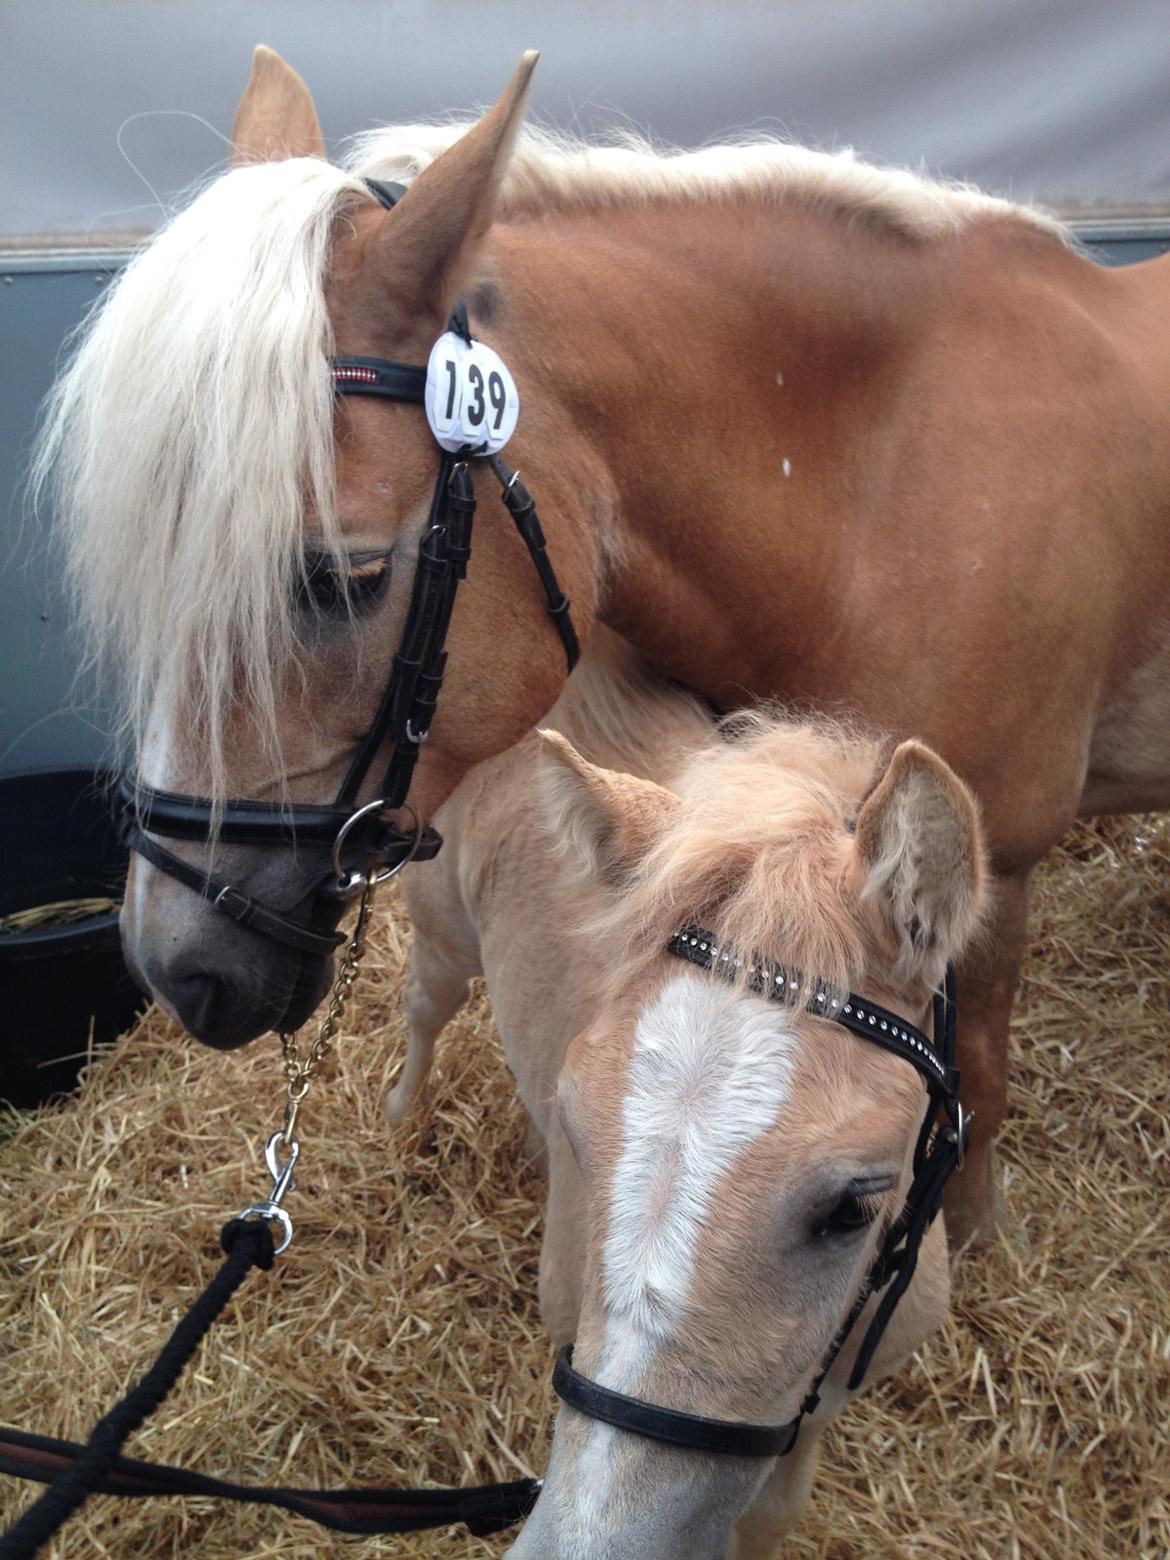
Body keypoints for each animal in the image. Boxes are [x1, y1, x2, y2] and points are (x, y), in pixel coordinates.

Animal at [34, 45, 1170, 1246]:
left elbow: (977, 1089)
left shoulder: (992, 874)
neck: (881, 484)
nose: (174, 969)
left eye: (346, 577)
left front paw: (971, 1246)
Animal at [385, 629, 985, 1558]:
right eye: (584, 1133)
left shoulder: (816, 1414)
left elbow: (769, 1511)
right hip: (444, 935)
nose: (582, 1545)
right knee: (424, 1009)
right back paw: (399, 1122)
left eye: (853, 1207)